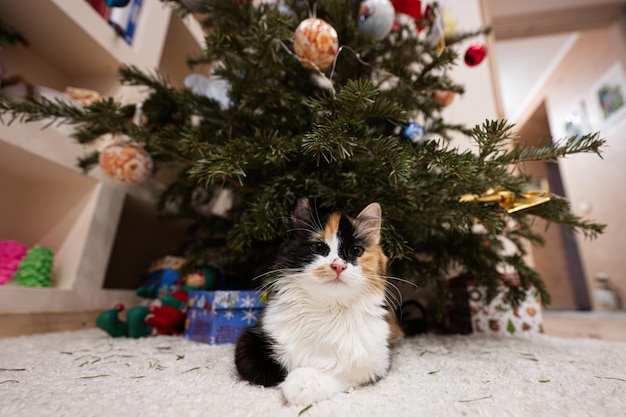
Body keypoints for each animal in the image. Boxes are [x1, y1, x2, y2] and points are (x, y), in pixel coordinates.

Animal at [233, 197, 400, 404]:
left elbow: (340, 370)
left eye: (356, 250)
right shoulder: (251, 339)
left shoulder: (377, 360)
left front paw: (304, 383)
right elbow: (265, 368)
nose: (338, 266)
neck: (328, 310)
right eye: (319, 247)